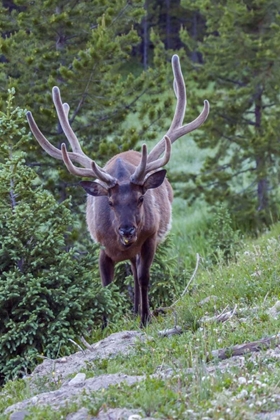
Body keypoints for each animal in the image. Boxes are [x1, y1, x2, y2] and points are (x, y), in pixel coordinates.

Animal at [26, 55, 210, 324]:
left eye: (141, 197)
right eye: (110, 202)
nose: (127, 230)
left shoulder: (150, 238)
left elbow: (144, 278)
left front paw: (145, 318)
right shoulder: (103, 249)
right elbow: (106, 287)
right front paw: (107, 321)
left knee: (135, 271)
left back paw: (137, 310)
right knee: (130, 268)